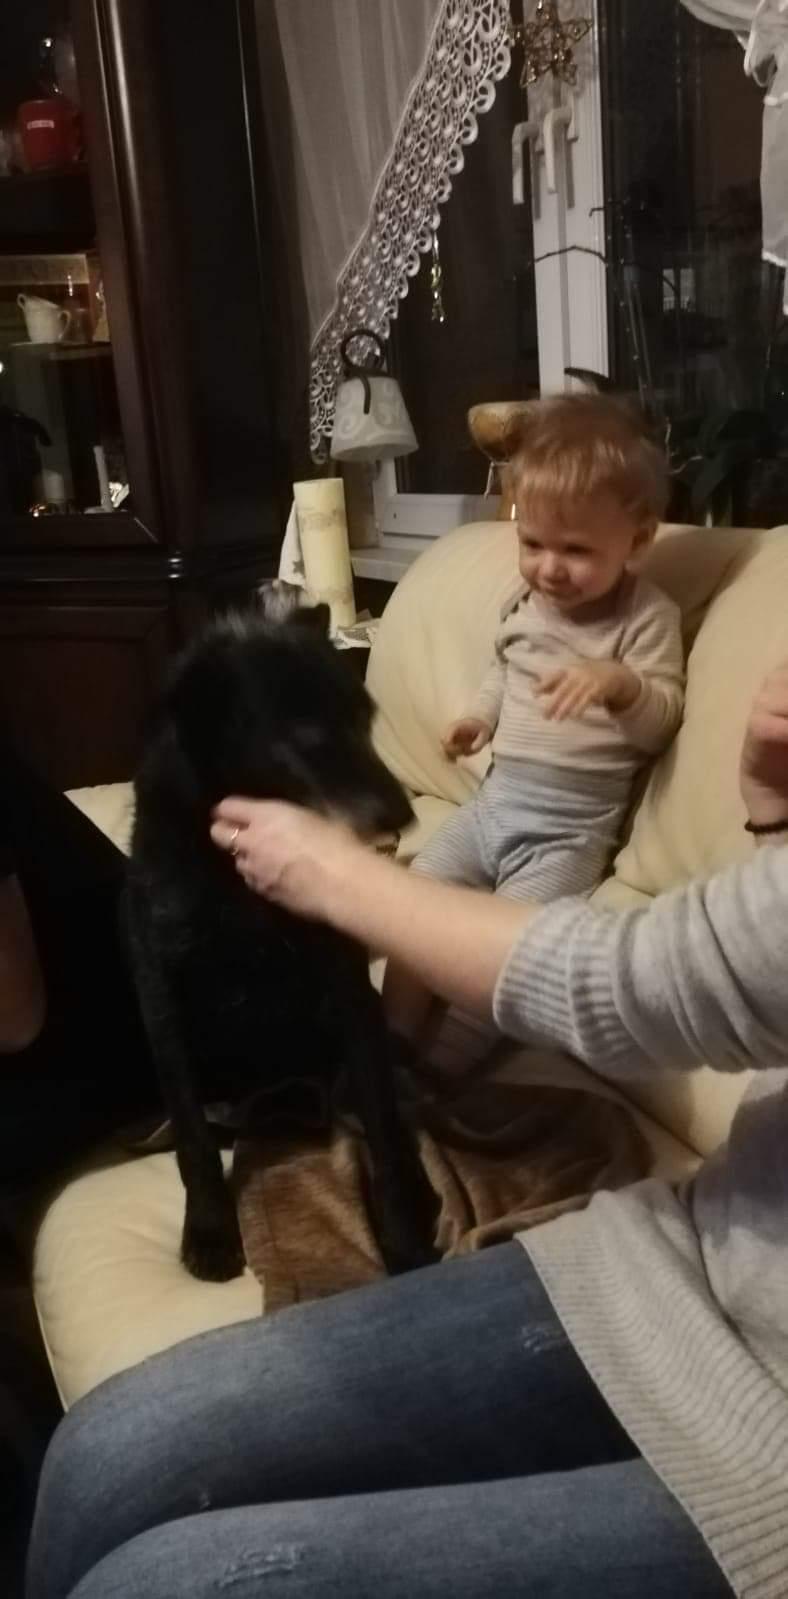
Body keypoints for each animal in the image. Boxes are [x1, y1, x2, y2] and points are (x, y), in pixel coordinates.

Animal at [125, 599, 439, 1283]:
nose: (405, 819)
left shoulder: (350, 992)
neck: (236, 877)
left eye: (366, 720)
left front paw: (404, 1232)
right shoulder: (162, 1001)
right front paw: (210, 1232)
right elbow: (191, 1137)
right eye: (310, 738)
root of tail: (280, 1102)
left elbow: (383, 1128)